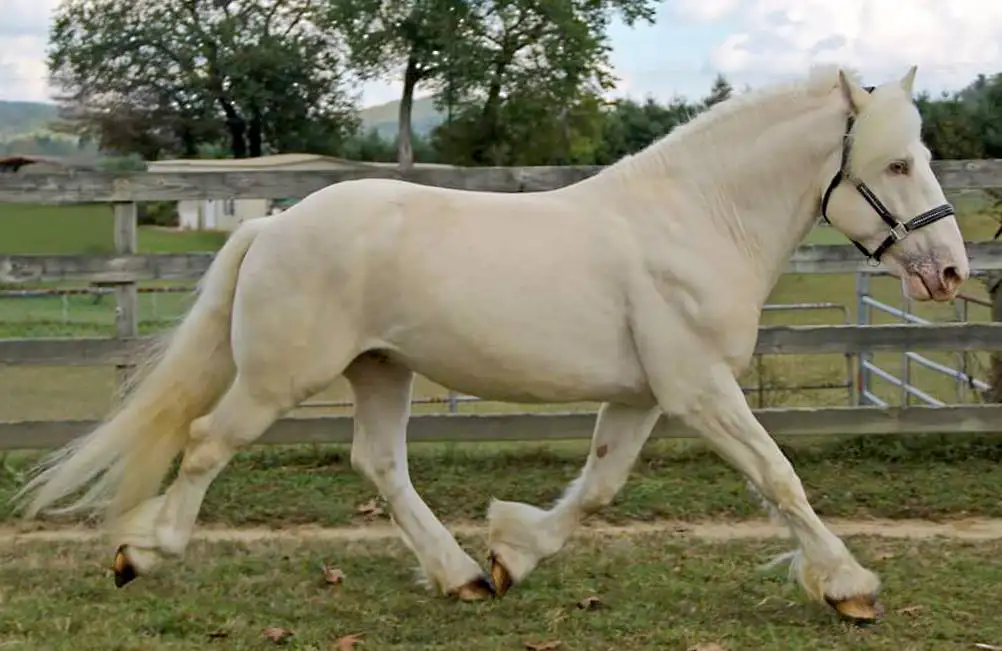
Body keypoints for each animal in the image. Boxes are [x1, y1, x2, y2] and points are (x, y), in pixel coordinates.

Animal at [11, 63, 969, 620]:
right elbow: (778, 474)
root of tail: (272, 224)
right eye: (894, 163)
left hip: (381, 370)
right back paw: (141, 552)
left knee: (380, 465)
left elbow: (598, 487)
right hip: (283, 376)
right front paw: (850, 585)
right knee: (211, 442)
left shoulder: (643, 394)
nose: (952, 270)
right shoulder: (698, 386)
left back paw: (461, 574)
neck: (694, 218)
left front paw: (513, 553)